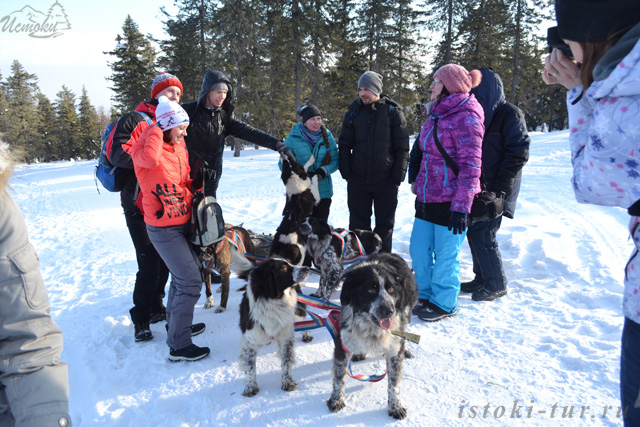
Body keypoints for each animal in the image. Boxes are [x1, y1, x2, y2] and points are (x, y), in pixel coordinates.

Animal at [239, 258, 312, 398]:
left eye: (289, 263)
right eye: (283, 268)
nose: (307, 268)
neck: (274, 302)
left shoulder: (285, 338)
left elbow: (286, 362)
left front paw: (287, 382)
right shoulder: (249, 342)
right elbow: (250, 367)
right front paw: (250, 386)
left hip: (298, 310)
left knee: (304, 318)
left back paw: (307, 334)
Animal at [328, 252, 418, 420]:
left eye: (391, 289)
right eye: (370, 289)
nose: (389, 311)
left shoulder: (394, 349)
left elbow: (394, 383)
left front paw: (395, 406)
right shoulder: (343, 343)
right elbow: (339, 376)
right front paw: (336, 399)